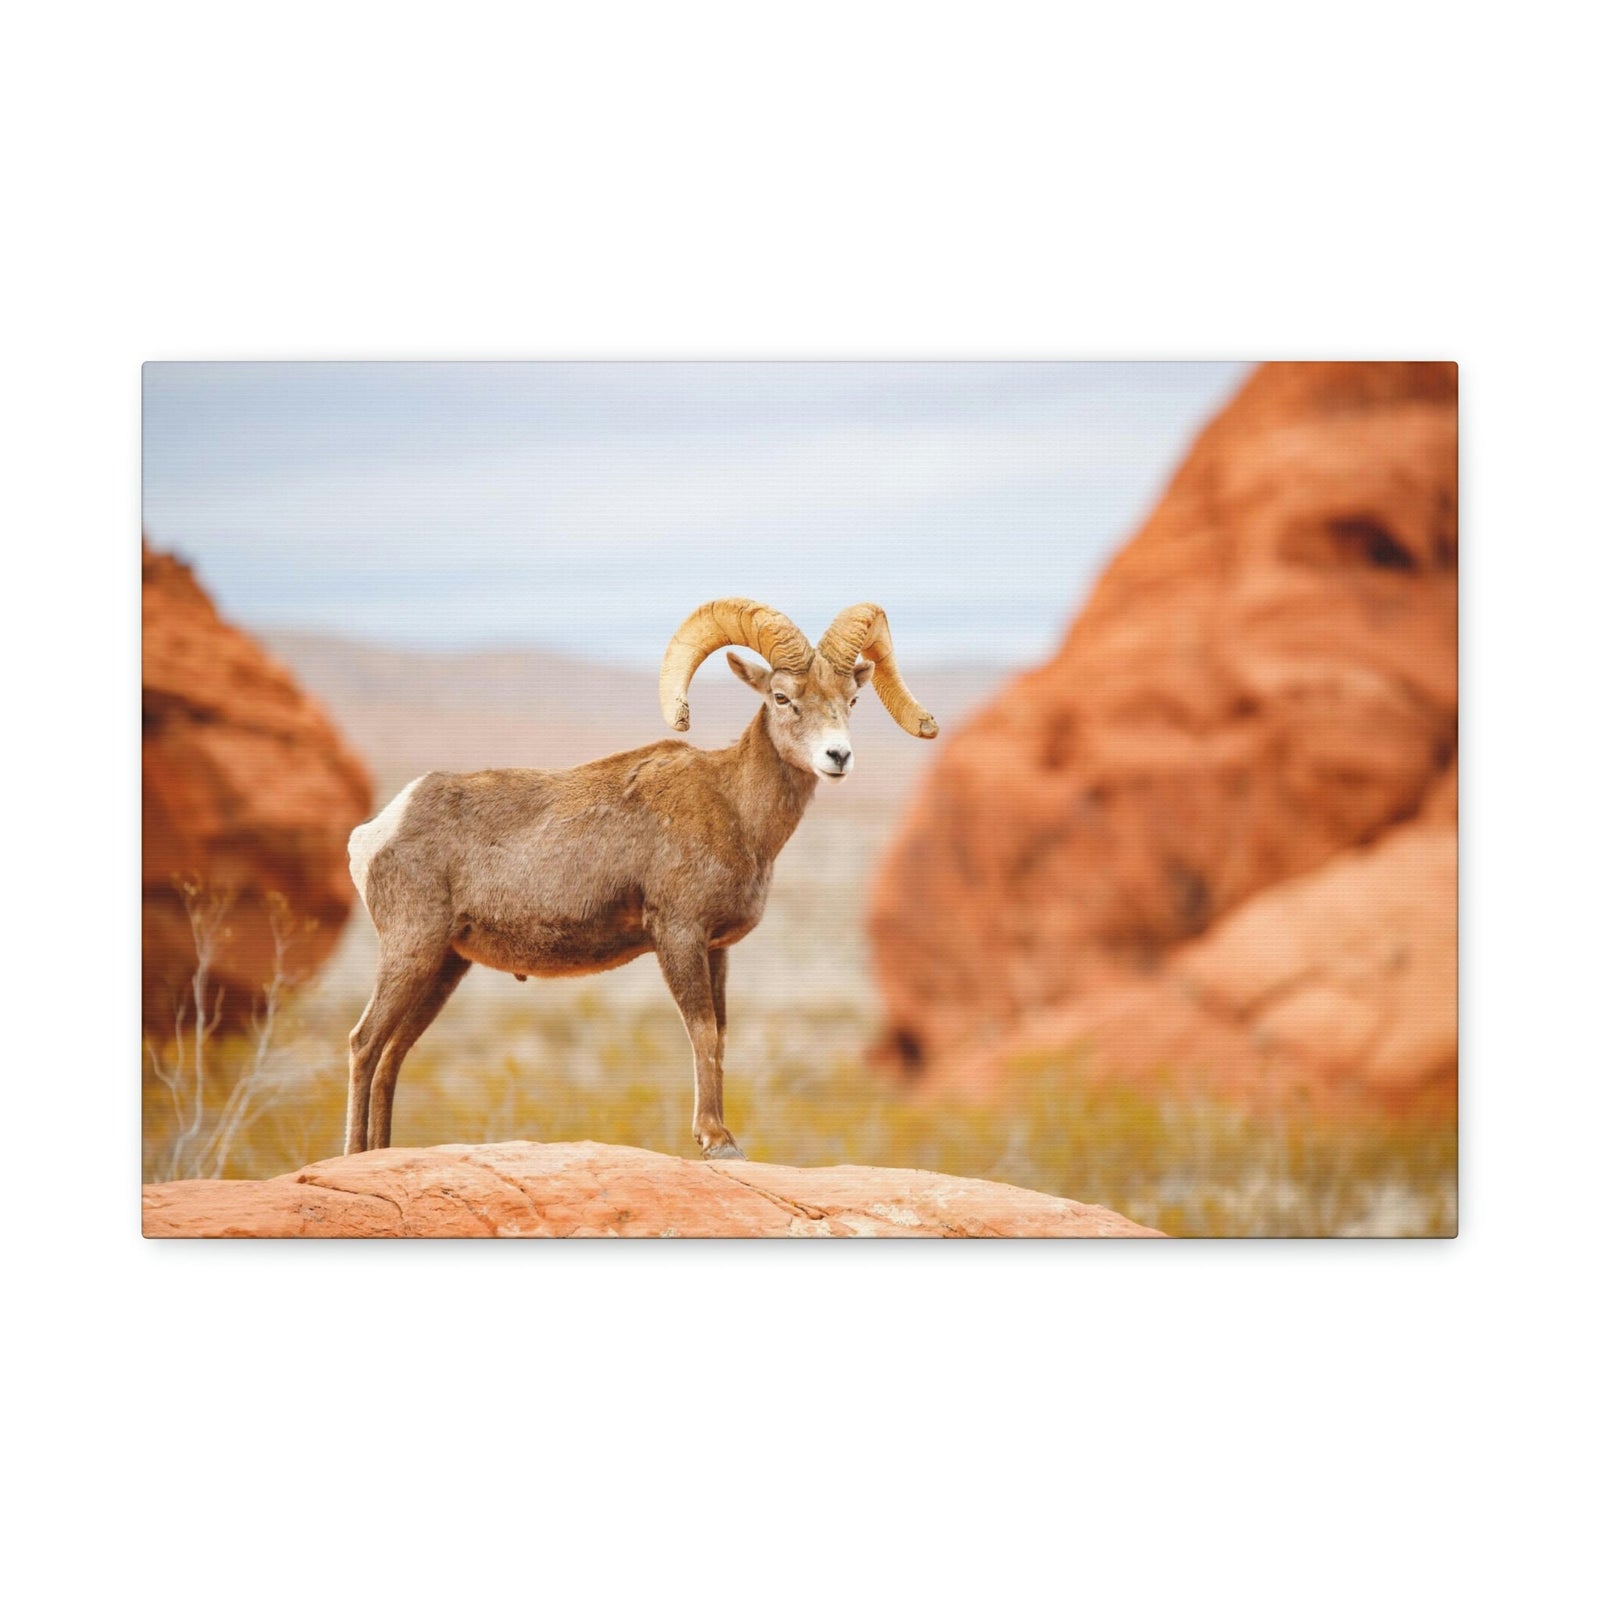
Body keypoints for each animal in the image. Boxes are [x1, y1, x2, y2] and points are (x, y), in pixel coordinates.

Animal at [343, 599, 938, 1159]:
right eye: (782, 697)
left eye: (852, 700)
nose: (838, 756)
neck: (736, 809)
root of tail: (377, 831)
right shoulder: (677, 936)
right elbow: (701, 1030)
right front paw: (716, 1141)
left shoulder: (716, 948)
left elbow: (720, 1034)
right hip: (412, 950)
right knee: (365, 1043)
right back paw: (354, 1153)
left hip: (445, 966)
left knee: (393, 1053)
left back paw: (381, 1153)